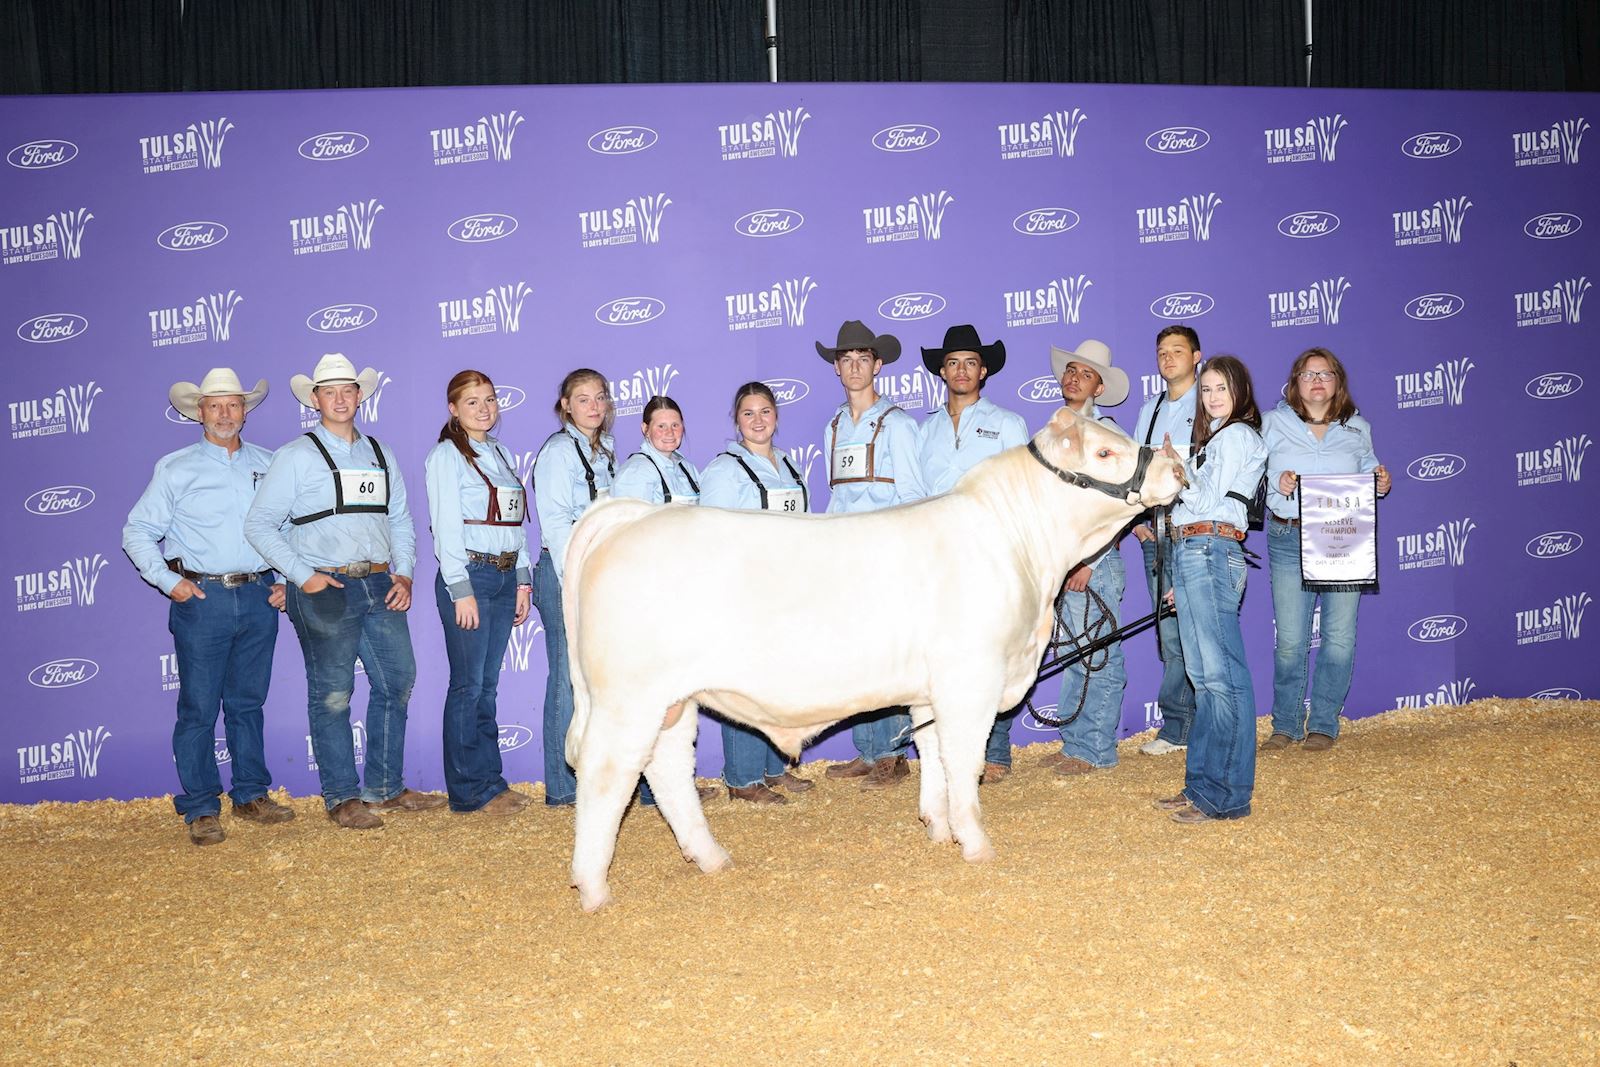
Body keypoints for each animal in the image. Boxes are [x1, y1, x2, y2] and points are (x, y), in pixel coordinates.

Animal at [556, 406, 1184, 908]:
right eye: (1104, 451)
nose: (1176, 468)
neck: (1020, 546)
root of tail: (631, 515)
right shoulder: (971, 678)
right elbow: (965, 762)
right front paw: (976, 843)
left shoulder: (932, 689)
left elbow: (934, 756)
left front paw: (938, 828)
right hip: (628, 697)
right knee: (607, 774)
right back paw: (594, 888)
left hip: (673, 700)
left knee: (665, 771)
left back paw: (711, 857)